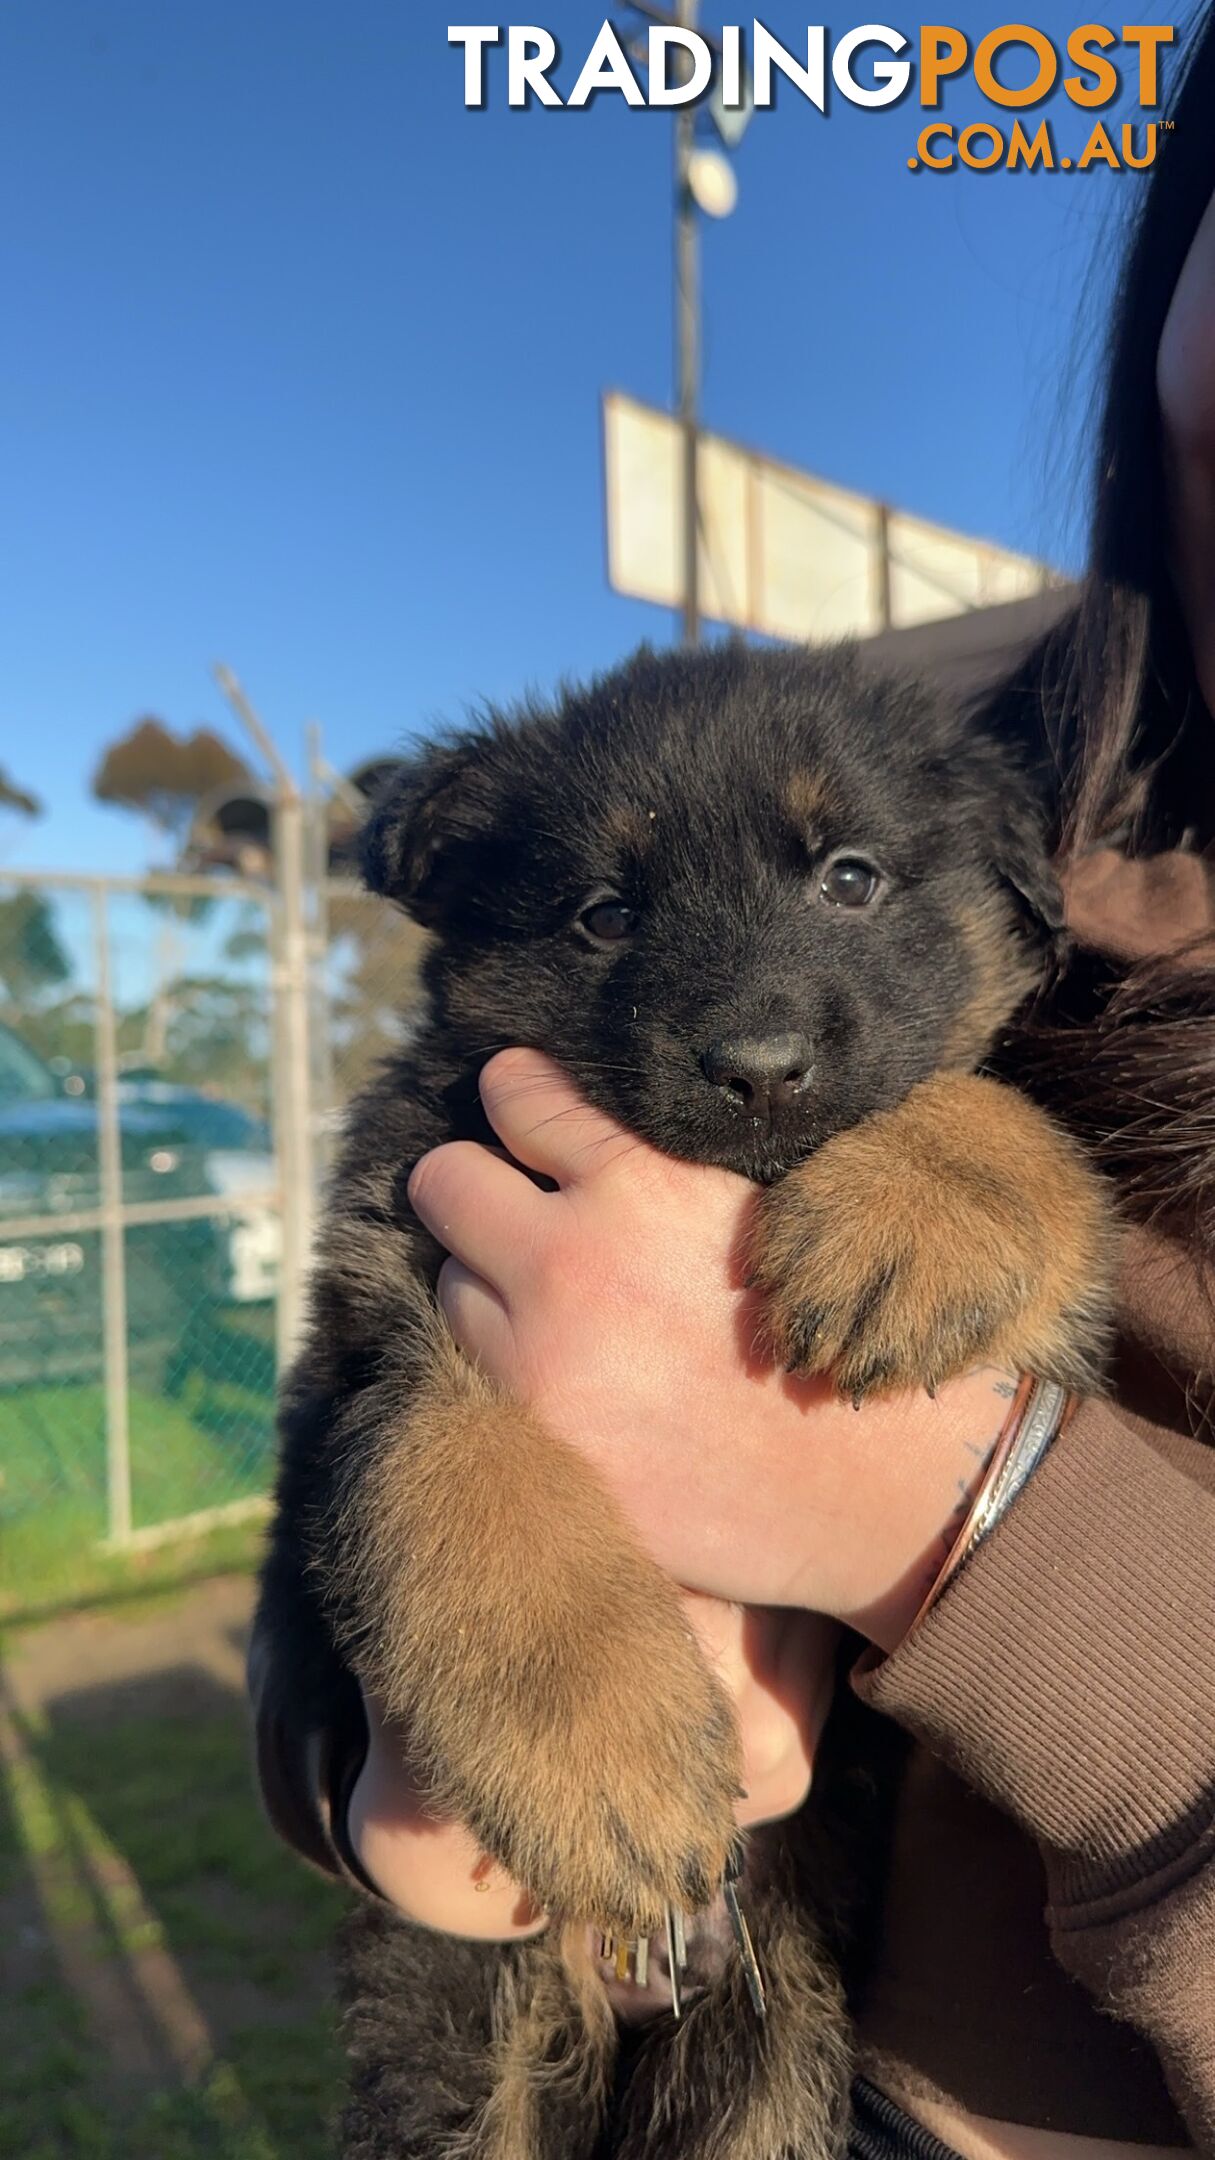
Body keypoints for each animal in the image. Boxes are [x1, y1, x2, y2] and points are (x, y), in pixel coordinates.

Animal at [255, 643, 1106, 2160]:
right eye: (603, 916)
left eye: (850, 877)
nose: (759, 1069)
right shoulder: (377, 1337)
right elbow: (459, 1475)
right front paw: (607, 1763)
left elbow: (994, 1097)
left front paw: (916, 1210)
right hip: (460, 2034)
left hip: (767, 2060)